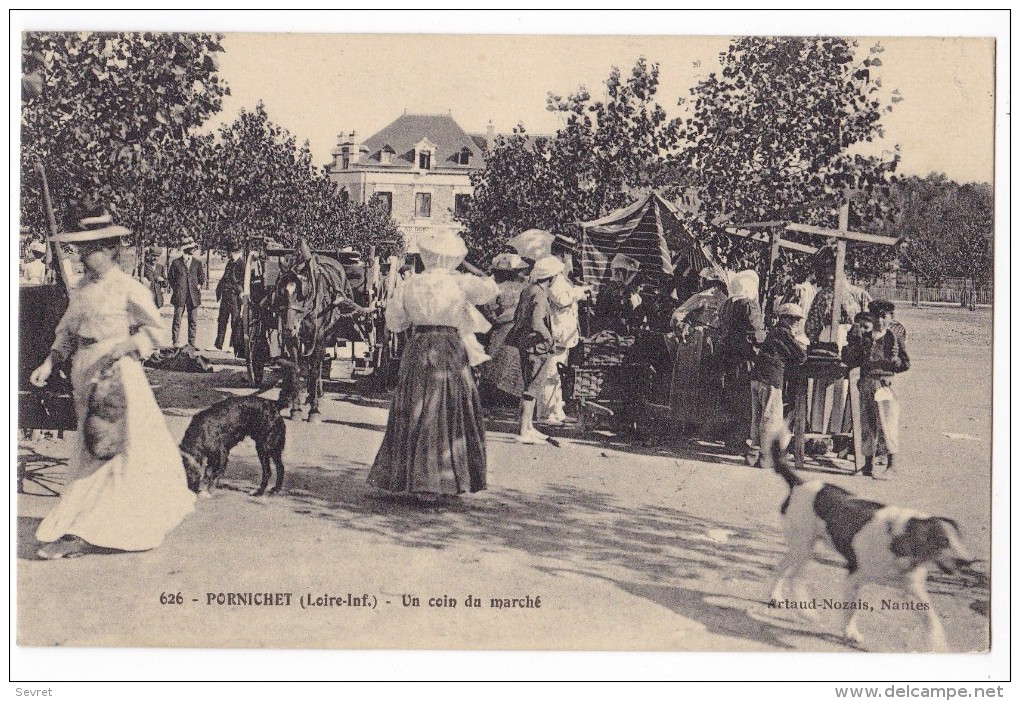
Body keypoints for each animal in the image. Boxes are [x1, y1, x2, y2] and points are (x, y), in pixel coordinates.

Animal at [179, 361, 297, 499]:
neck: (198, 434)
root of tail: (273, 404)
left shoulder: (222, 453)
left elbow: (214, 474)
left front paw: (208, 491)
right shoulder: (212, 458)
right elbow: (208, 472)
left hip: (263, 447)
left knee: (267, 471)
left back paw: (259, 492)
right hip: (274, 448)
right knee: (281, 467)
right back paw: (275, 489)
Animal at [275, 251, 371, 422]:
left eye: (302, 293)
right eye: (282, 291)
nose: (289, 328)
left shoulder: (319, 338)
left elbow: (314, 370)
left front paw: (314, 410)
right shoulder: (293, 341)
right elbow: (296, 368)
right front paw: (296, 409)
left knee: (317, 365)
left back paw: (315, 395)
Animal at [767, 428, 975, 653]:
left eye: (959, 538)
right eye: (942, 541)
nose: (967, 562)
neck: (897, 537)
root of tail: (799, 483)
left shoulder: (913, 590)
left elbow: (932, 621)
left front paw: (939, 646)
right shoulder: (854, 577)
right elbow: (851, 610)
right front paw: (850, 633)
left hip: (802, 548)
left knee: (785, 569)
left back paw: (780, 599)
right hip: (803, 547)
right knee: (792, 575)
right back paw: (803, 611)